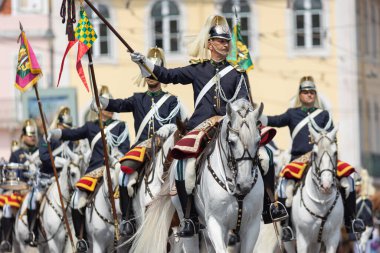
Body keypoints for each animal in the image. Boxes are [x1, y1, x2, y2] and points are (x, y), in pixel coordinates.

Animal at [288, 123, 342, 252]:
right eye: (315, 153)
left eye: (335, 153)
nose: (326, 186)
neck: (321, 202)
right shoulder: (302, 240)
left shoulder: (333, 239)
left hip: (315, 243)